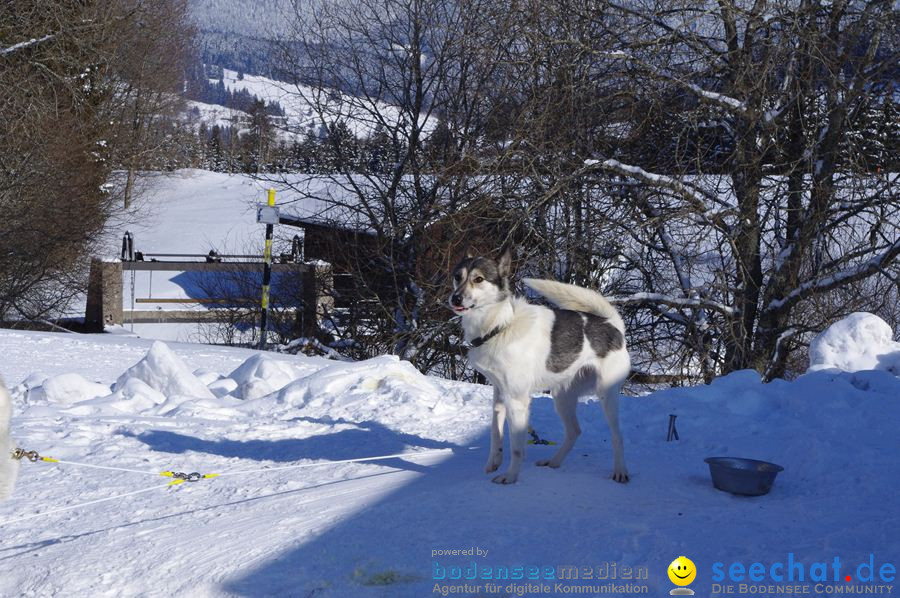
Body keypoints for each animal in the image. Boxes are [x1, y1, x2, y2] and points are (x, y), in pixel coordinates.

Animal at [448, 250, 628, 488]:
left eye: (478, 279)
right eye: (457, 277)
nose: (455, 298)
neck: (500, 325)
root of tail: (612, 324)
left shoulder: (517, 401)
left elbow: (516, 448)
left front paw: (510, 476)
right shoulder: (500, 396)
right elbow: (495, 434)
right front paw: (494, 461)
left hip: (606, 394)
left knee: (617, 436)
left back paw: (620, 471)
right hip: (562, 397)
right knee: (574, 432)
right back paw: (554, 461)